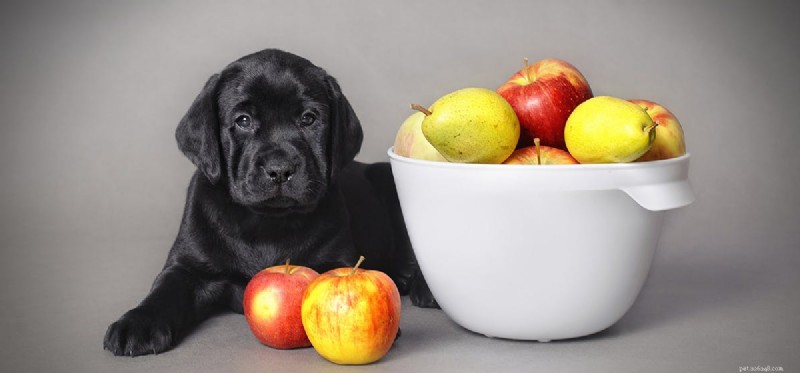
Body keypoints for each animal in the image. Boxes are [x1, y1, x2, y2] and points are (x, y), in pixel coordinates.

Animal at [106, 48, 438, 354]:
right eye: (243, 120)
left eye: (308, 119)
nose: (280, 169)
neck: (266, 221)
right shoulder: (187, 266)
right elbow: (165, 290)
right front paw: (138, 322)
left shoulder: (336, 259)